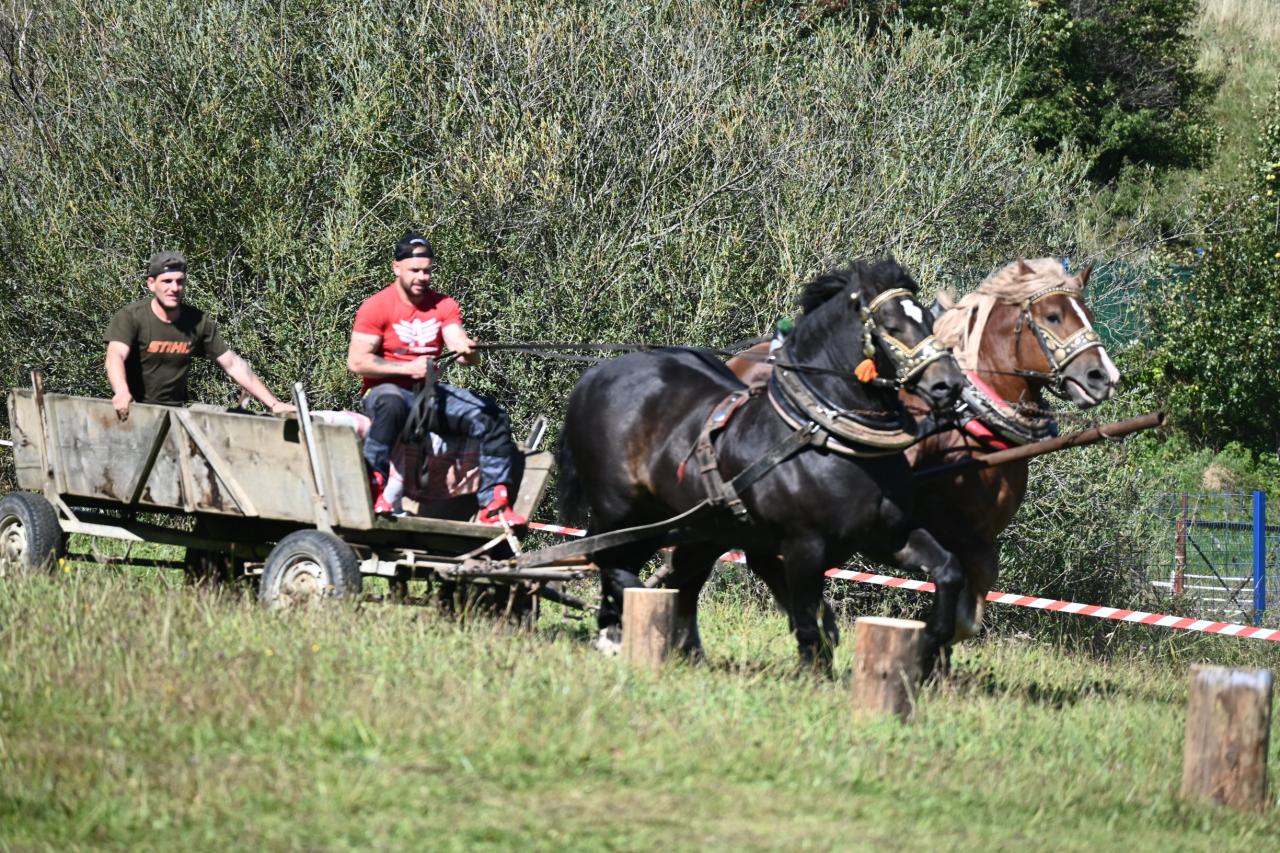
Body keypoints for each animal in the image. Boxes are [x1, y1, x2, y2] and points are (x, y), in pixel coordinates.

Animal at [557, 258, 967, 670]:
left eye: (928, 321)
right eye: (891, 324)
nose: (949, 385)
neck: (825, 435)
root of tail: (597, 374)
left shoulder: (885, 535)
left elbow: (949, 569)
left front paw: (933, 642)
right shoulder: (804, 545)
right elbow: (806, 615)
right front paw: (814, 670)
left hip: (675, 522)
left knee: (660, 572)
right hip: (621, 509)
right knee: (607, 558)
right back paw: (624, 624)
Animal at [727, 257, 1120, 647]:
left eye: (1088, 314)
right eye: (1053, 316)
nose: (1104, 376)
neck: (964, 424)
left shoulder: (979, 536)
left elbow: (972, 596)